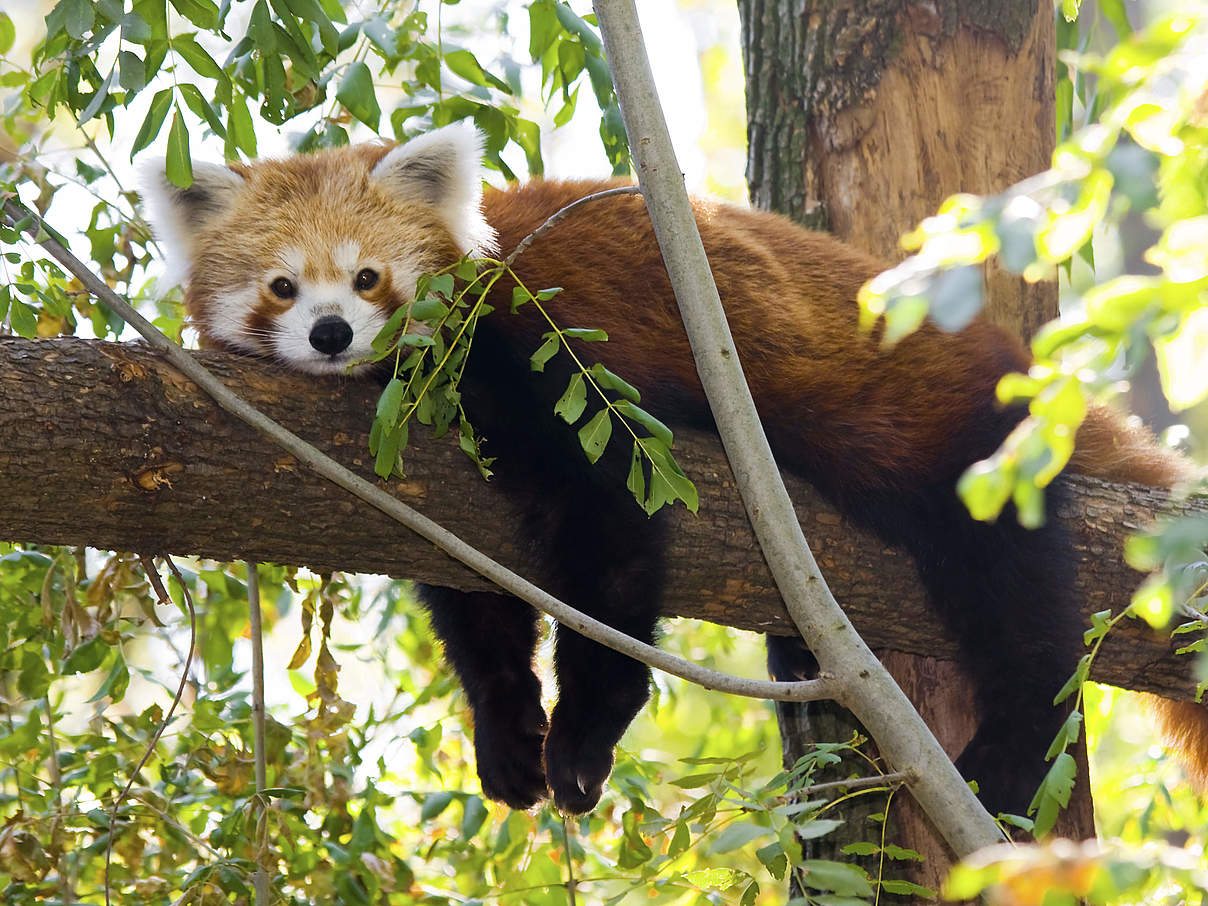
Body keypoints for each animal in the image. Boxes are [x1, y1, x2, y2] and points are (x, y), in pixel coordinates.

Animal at [146, 120, 1203, 816]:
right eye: (283, 286)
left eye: (368, 279)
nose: (330, 335)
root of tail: (1012, 357)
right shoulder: (418, 478)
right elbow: (475, 602)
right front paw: (508, 730)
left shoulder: (563, 369)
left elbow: (610, 544)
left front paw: (582, 733)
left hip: (942, 432)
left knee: (1009, 589)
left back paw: (1012, 752)